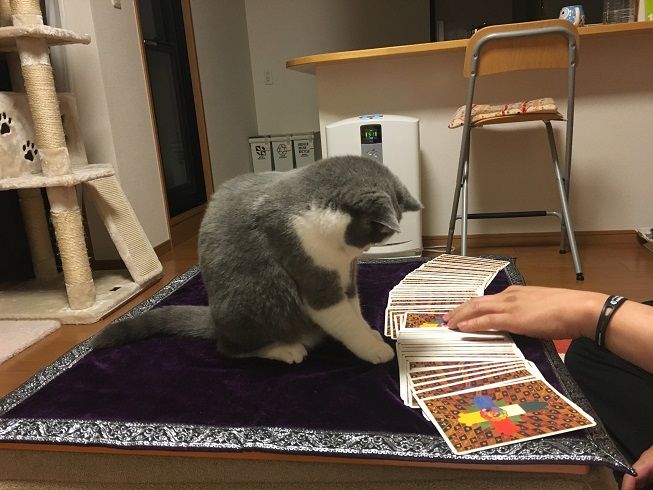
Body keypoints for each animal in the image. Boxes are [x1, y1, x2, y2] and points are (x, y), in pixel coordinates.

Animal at [91, 155, 422, 364]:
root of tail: (215, 320)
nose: (366, 251)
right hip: (256, 295)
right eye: (377, 233)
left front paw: (370, 332)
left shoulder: (346, 274)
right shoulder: (313, 276)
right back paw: (285, 350)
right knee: (230, 348)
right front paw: (373, 349)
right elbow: (343, 319)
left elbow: (355, 308)